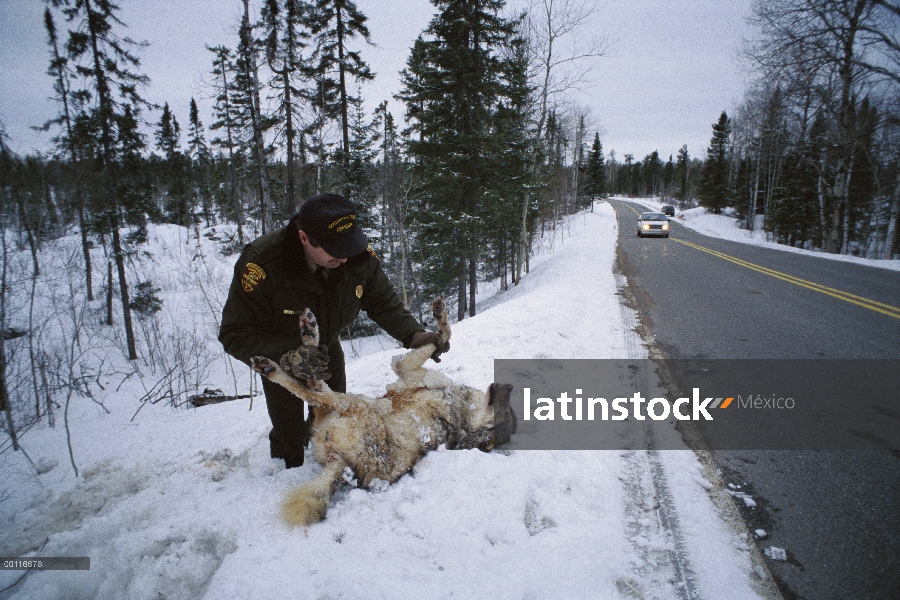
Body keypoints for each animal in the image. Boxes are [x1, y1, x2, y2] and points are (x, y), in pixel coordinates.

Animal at [250, 296, 512, 524]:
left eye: (506, 412)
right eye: (510, 406)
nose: (509, 385)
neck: (460, 415)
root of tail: (344, 466)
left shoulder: (404, 368)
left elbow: (443, 336)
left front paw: (441, 320)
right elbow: (439, 339)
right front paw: (439, 322)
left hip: (354, 406)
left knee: (312, 392)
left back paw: (280, 360)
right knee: (314, 385)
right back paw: (304, 344)